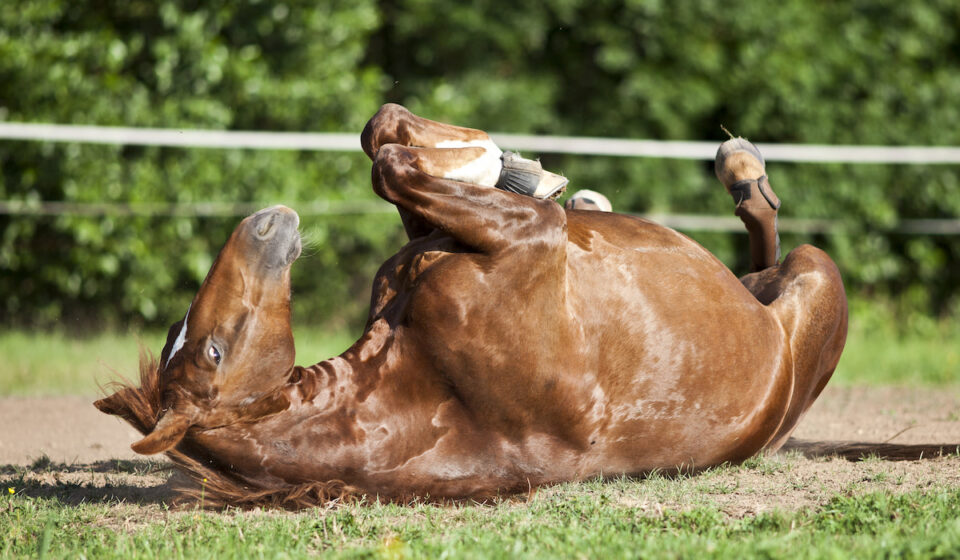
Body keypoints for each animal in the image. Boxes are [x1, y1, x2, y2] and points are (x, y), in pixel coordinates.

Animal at [96, 104, 851, 508]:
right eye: (212, 350)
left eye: (191, 339)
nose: (264, 223)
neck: (423, 386)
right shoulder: (528, 239)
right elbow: (392, 166)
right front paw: (507, 167)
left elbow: (383, 140)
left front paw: (508, 165)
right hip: (815, 275)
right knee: (773, 248)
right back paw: (741, 169)